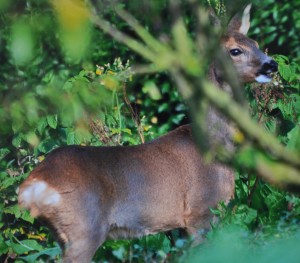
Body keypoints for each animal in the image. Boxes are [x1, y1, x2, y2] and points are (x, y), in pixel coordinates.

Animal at [18, 4, 276, 263]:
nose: (271, 64)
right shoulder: (201, 212)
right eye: (235, 50)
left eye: (254, 42)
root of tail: (31, 185)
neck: (215, 147)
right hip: (84, 229)